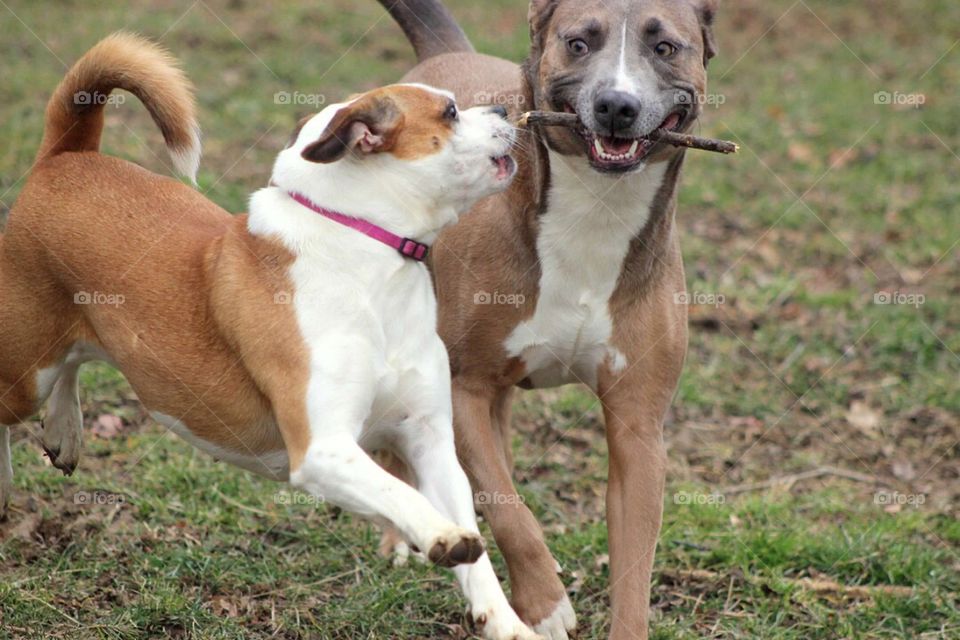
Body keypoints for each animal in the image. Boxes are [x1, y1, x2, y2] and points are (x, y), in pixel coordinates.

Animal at [0, 33, 548, 640]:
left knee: (74, 361)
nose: (503, 109)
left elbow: (472, 550)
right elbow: (400, 493)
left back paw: (64, 429)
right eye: (450, 112)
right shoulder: (323, 450)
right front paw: (441, 535)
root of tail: (65, 157)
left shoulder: (430, 440)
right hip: (26, 371)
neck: (362, 246)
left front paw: (506, 623)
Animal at [376, 1, 720, 640]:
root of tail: (446, 51)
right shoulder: (462, 389)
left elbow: (633, 565)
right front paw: (542, 603)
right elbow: (509, 510)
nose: (617, 104)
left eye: (665, 48)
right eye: (579, 43)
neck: (596, 210)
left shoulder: (638, 428)